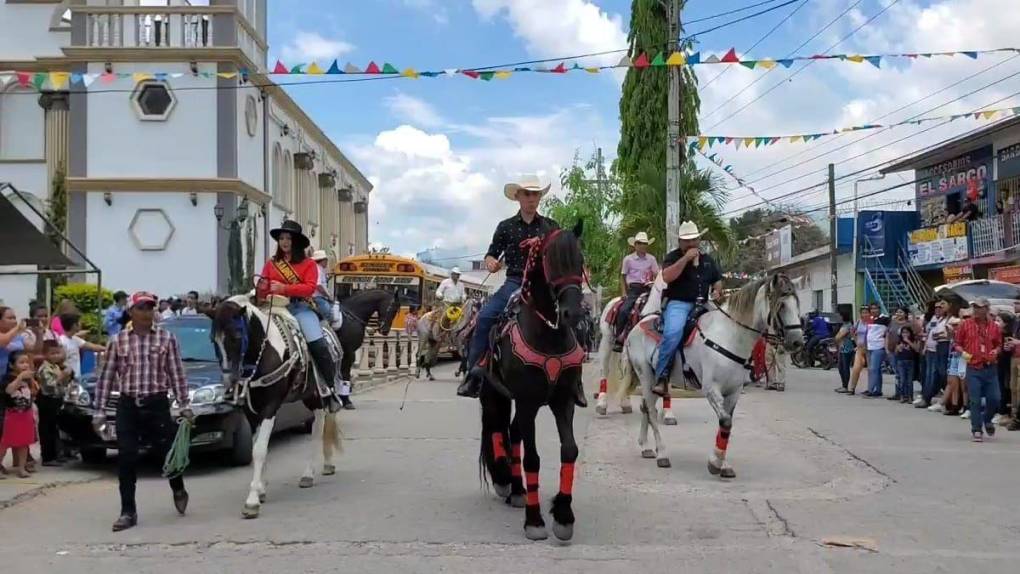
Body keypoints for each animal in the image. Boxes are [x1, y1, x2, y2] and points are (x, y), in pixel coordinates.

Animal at [209, 289, 395, 517]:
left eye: (236, 336)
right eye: (213, 340)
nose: (229, 383)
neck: (263, 353)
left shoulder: (270, 406)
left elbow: (260, 449)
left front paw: (252, 500)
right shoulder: (252, 411)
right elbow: (259, 447)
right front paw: (261, 488)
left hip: (320, 394)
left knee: (319, 428)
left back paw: (312, 471)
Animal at [479, 221, 587, 542]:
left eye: (580, 259)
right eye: (551, 260)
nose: (573, 312)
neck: (547, 334)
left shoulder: (563, 400)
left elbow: (569, 450)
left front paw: (563, 515)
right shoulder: (527, 401)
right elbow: (533, 459)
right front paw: (535, 520)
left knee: (513, 433)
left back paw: (517, 490)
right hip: (494, 395)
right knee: (499, 430)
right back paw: (507, 484)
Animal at [616, 273, 799, 477]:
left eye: (797, 304)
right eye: (781, 305)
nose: (798, 341)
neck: (729, 337)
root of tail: (636, 327)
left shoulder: (733, 392)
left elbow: (725, 424)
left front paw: (723, 464)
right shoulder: (711, 389)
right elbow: (725, 422)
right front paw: (716, 462)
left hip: (655, 382)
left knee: (645, 408)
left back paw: (646, 447)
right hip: (647, 378)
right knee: (652, 412)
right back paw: (662, 454)